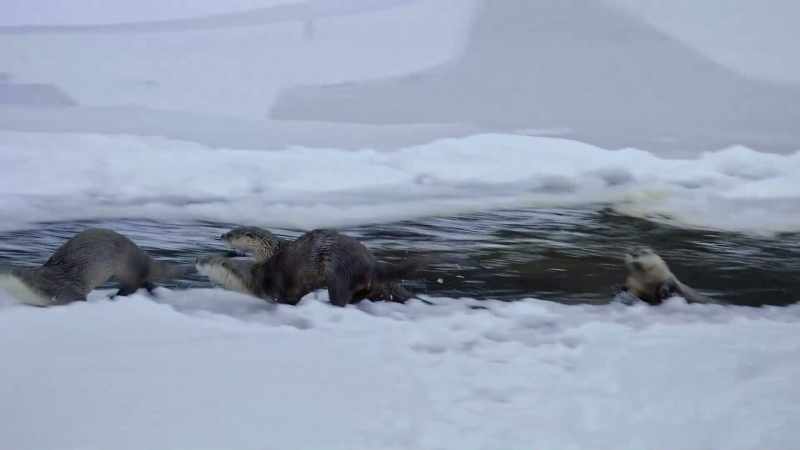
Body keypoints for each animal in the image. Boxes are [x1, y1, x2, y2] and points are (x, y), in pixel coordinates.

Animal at [2, 228, 190, 306]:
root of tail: (140, 253)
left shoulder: (66, 292)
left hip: (126, 266)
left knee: (135, 283)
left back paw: (115, 296)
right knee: (145, 281)